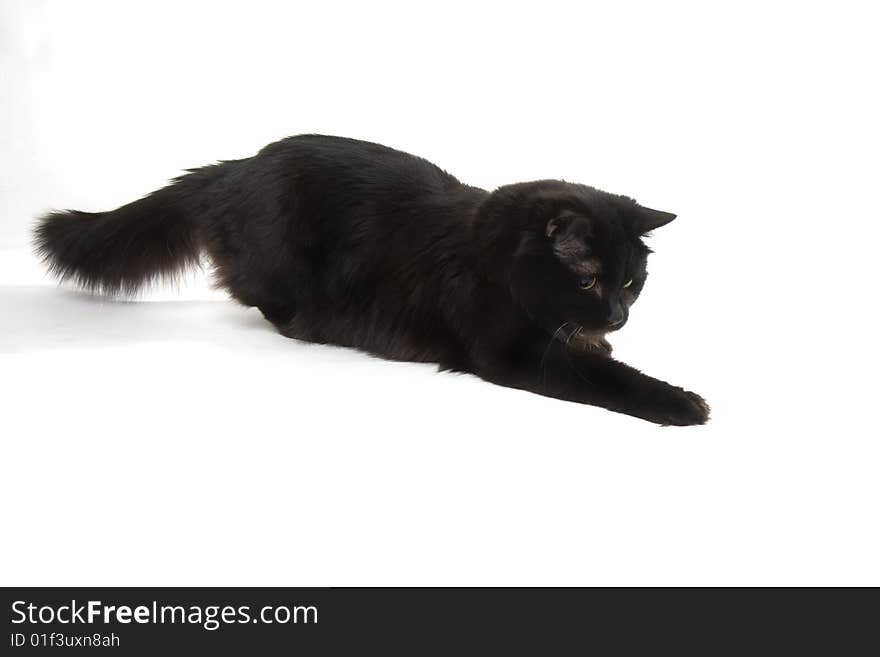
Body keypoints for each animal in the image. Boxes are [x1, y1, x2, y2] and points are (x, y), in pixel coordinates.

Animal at [32, 133, 708, 426]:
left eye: (632, 283)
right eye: (590, 282)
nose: (619, 315)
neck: (493, 253)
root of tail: (235, 166)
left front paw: (600, 340)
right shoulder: (514, 352)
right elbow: (611, 379)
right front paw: (682, 402)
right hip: (282, 254)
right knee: (258, 296)